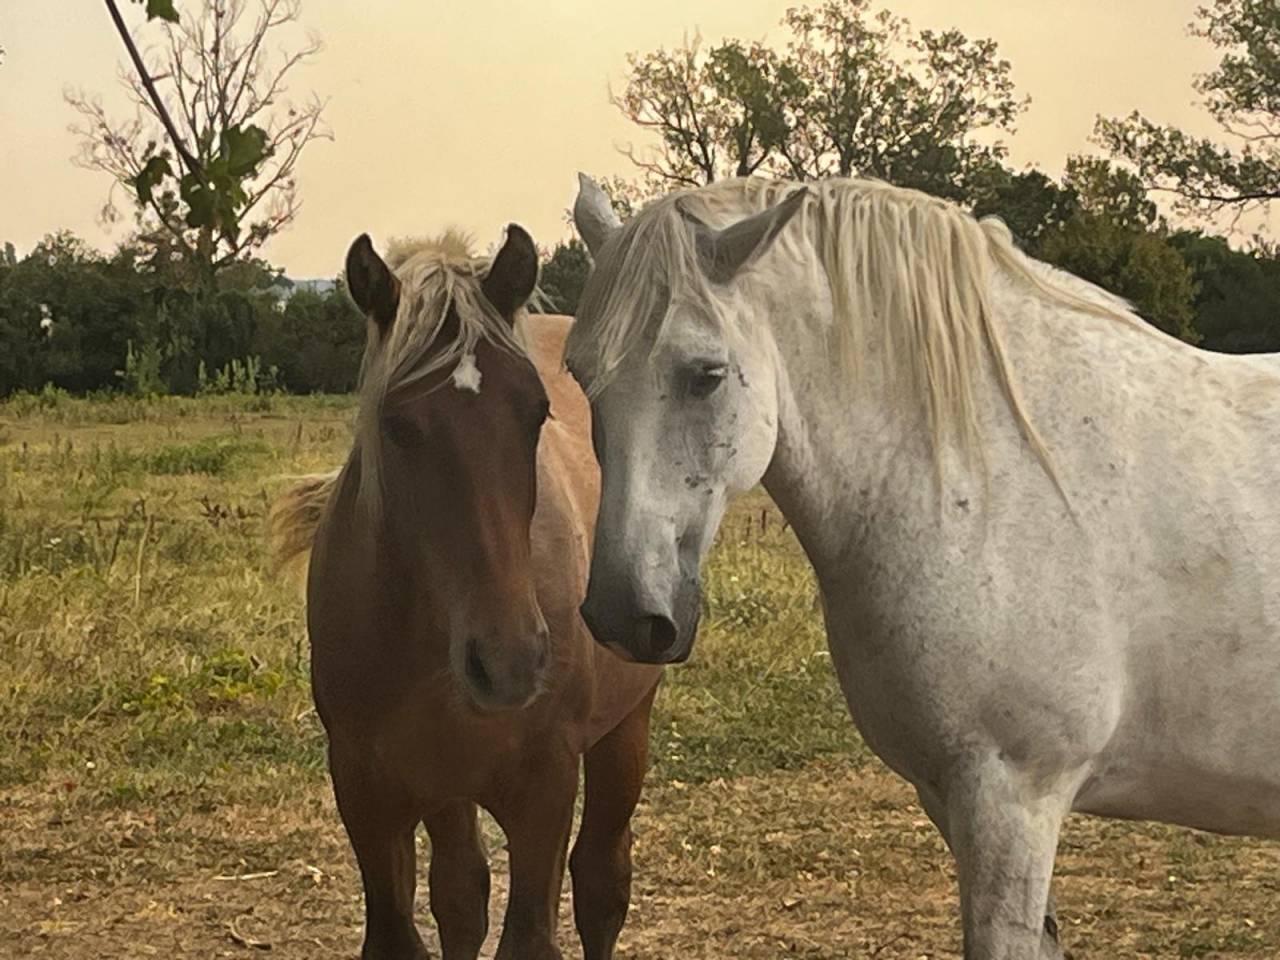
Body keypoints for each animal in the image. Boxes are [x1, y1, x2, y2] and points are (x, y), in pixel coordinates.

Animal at [271, 225, 662, 960]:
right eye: (396, 425)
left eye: (536, 412)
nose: (509, 663)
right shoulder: (368, 792)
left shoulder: (544, 789)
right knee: (462, 893)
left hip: (626, 726)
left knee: (602, 881)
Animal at [565, 172, 1280, 959]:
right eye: (580, 374)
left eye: (707, 375)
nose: (623, 615)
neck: (996, 472)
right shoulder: (951, 796)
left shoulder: (1013, 800)